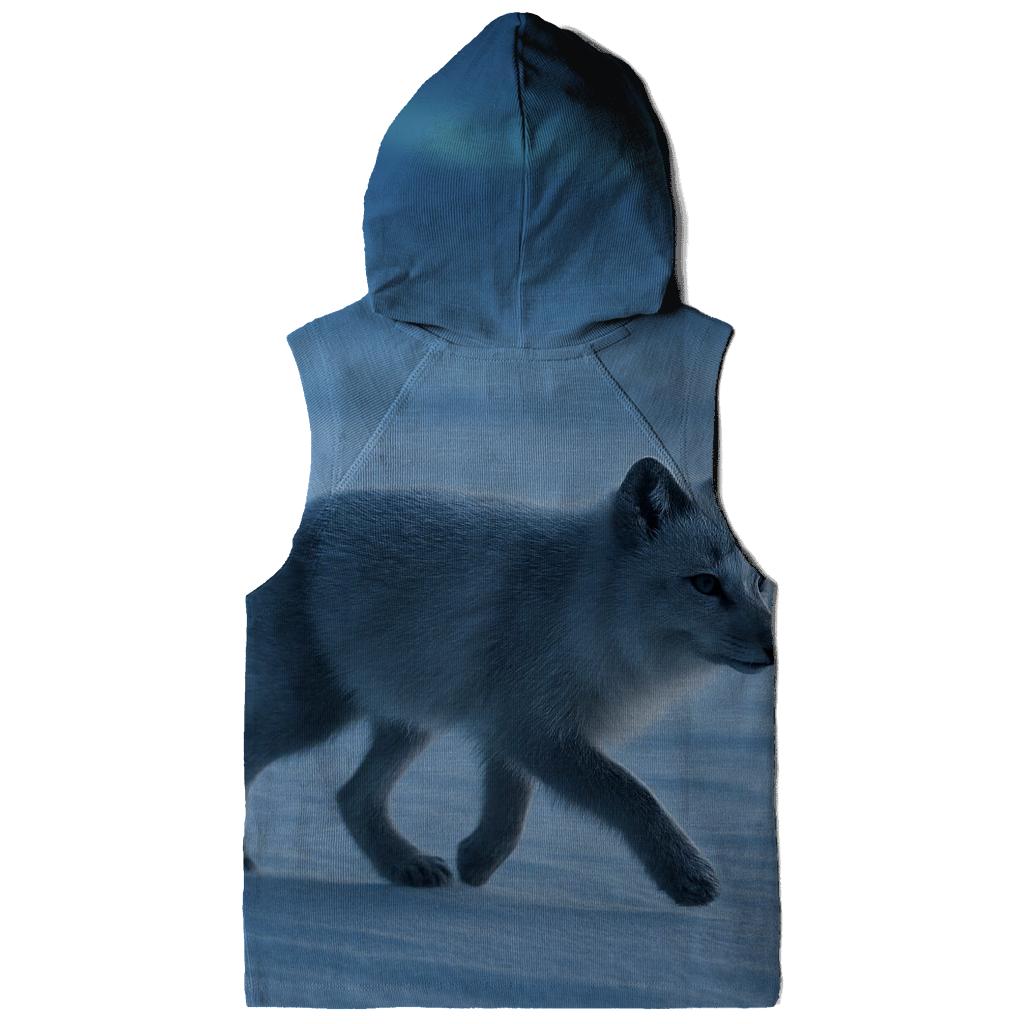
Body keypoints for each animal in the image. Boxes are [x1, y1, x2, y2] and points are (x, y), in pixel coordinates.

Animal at [244, 458, 774, 906]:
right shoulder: (534, 728)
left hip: (410, 721)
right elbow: (633, 795)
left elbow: (511, 812)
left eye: (759, 584)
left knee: (352, 796)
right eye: (705, 584)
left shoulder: (514, 726)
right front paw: (687, 874)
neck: (585, 604)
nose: (773, 650)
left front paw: (477, 862)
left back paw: (405, 865)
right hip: (308, 714)